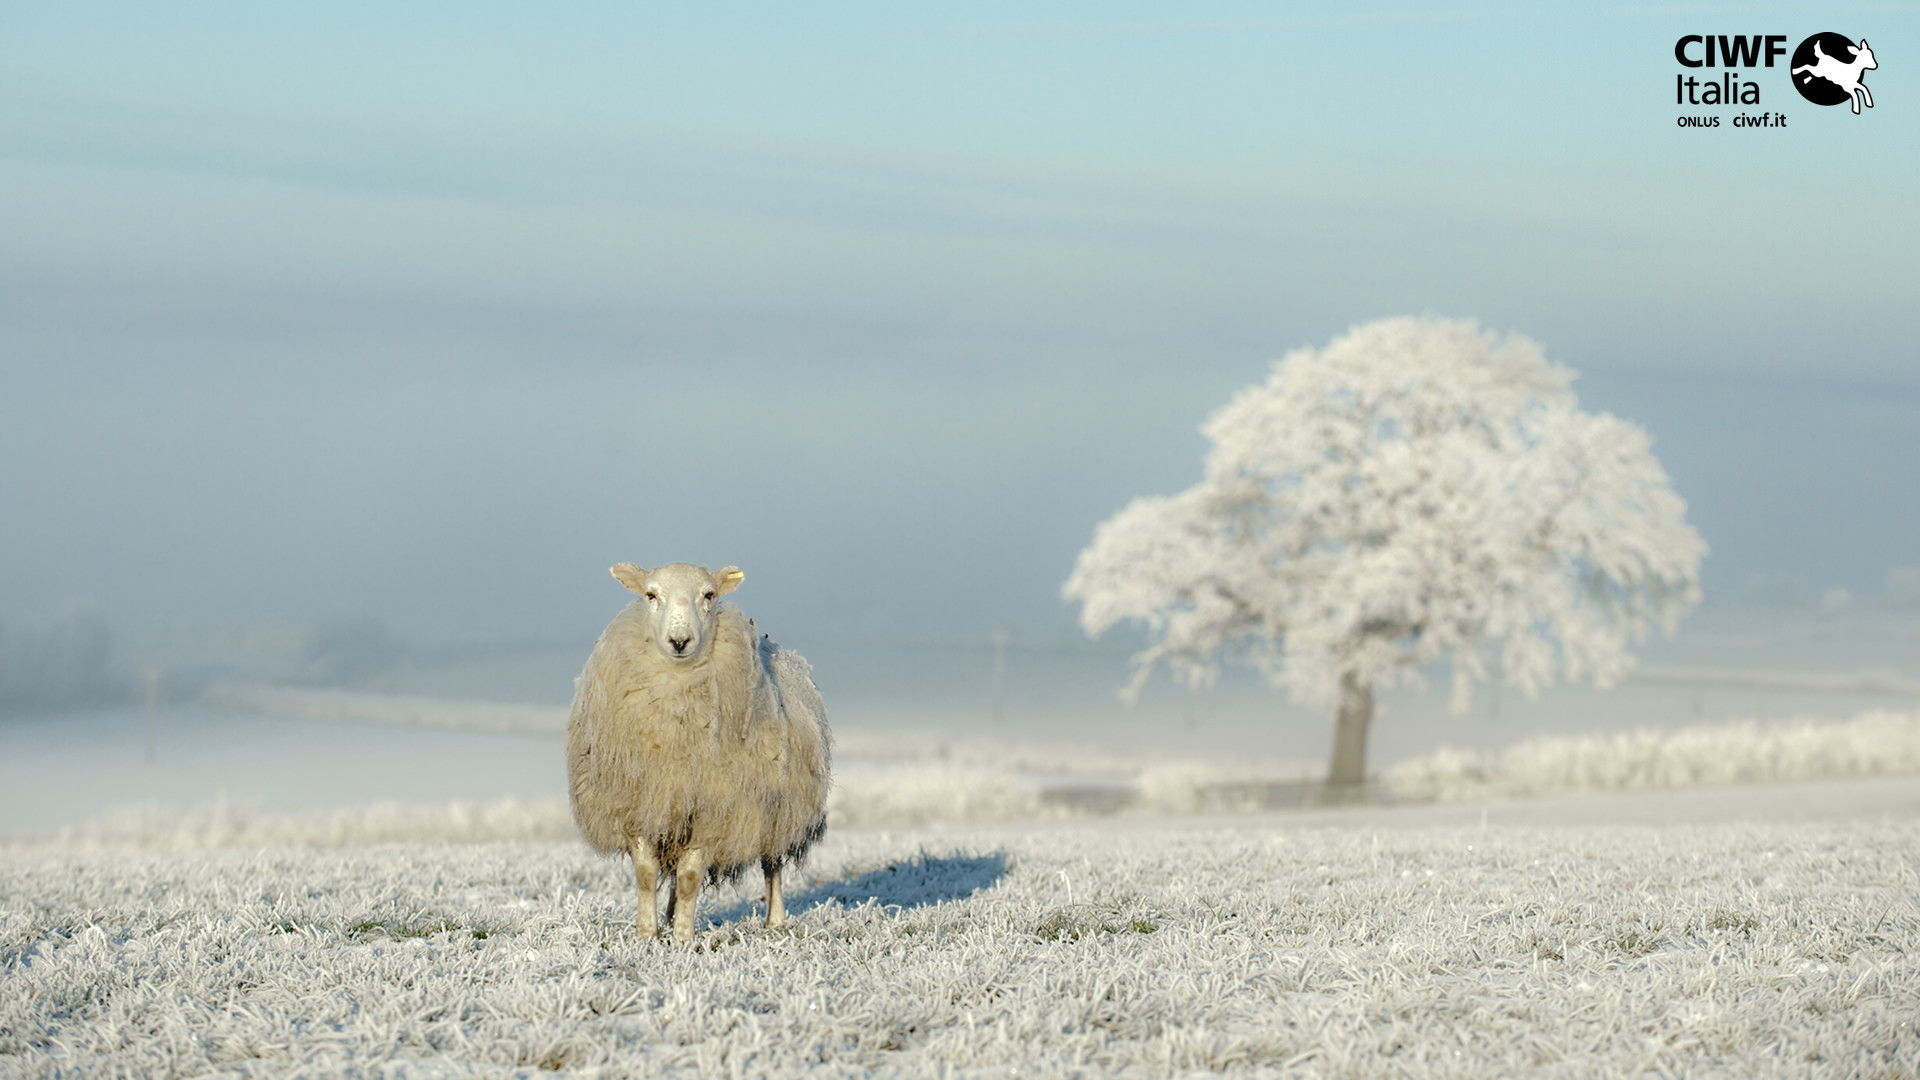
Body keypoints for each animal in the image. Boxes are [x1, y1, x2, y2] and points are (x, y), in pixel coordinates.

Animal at [567, 561, 832, 941]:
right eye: (650, 594)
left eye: (709, 594)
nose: (680, 641)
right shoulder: (638, 805)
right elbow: (646, 874)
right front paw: (647, 934)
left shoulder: (714, 810)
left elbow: (690, 877)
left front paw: (682, 937)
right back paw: (670, 913)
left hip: (778, 809)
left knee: (773, 866)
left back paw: (775, 921)